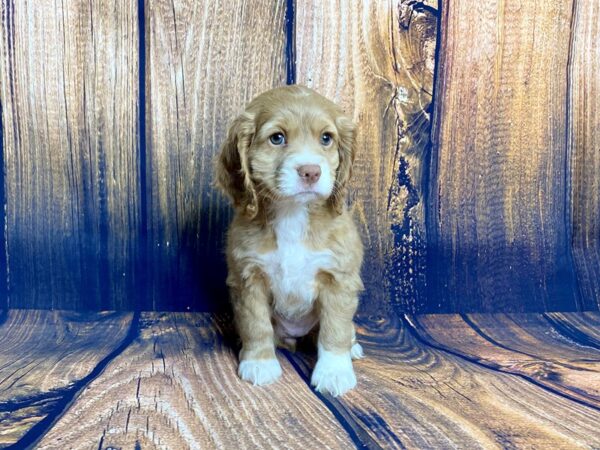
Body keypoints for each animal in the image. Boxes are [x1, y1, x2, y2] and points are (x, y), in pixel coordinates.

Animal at [217, 86, 366, 396]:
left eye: (326, 138)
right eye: (277, 138)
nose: (311, 171)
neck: (293, 213)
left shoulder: (339, 279)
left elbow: (335, 329)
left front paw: (334, 371)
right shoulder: (248, 278)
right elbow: (256, 324)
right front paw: (259, 362)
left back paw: (353, 347)